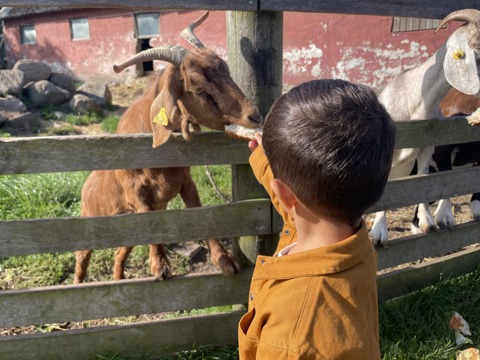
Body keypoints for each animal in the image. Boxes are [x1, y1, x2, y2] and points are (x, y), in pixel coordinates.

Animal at [74, 11, 262, 284]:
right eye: (198, 89)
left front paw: (224, 261)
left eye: (226, 71)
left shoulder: (186, 182)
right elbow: (152, 223)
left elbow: (199, 213)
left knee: (119, 254)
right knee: (81, 260)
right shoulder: (135, 192)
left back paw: (120, 281)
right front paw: (160, 266)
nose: (254, 116)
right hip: (89, 221)